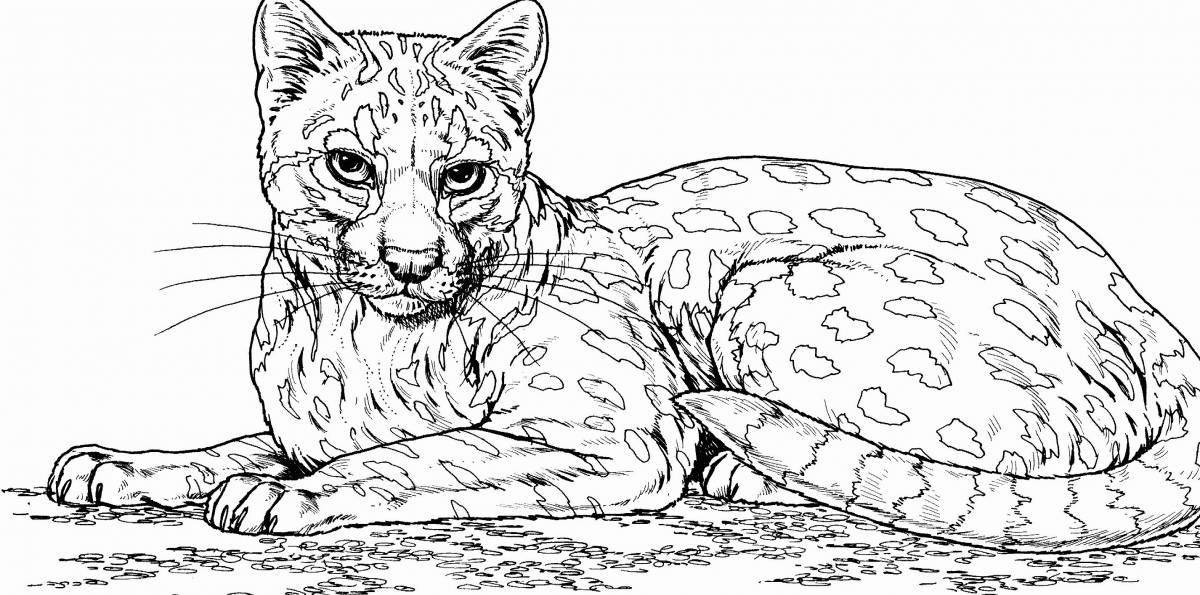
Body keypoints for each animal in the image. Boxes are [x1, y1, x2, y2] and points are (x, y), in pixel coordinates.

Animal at [47, 0, 1200, 553]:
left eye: (463, 175)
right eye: (349, 164)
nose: (412, 257)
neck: (363, 346)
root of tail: (1144, 303)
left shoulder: (613, 435)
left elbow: (421, 455)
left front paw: (289, 495)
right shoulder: (299, 421)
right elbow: (236, 442)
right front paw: (129, 465)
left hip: (768, 294)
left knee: (1002, 457)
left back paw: (748, 470)